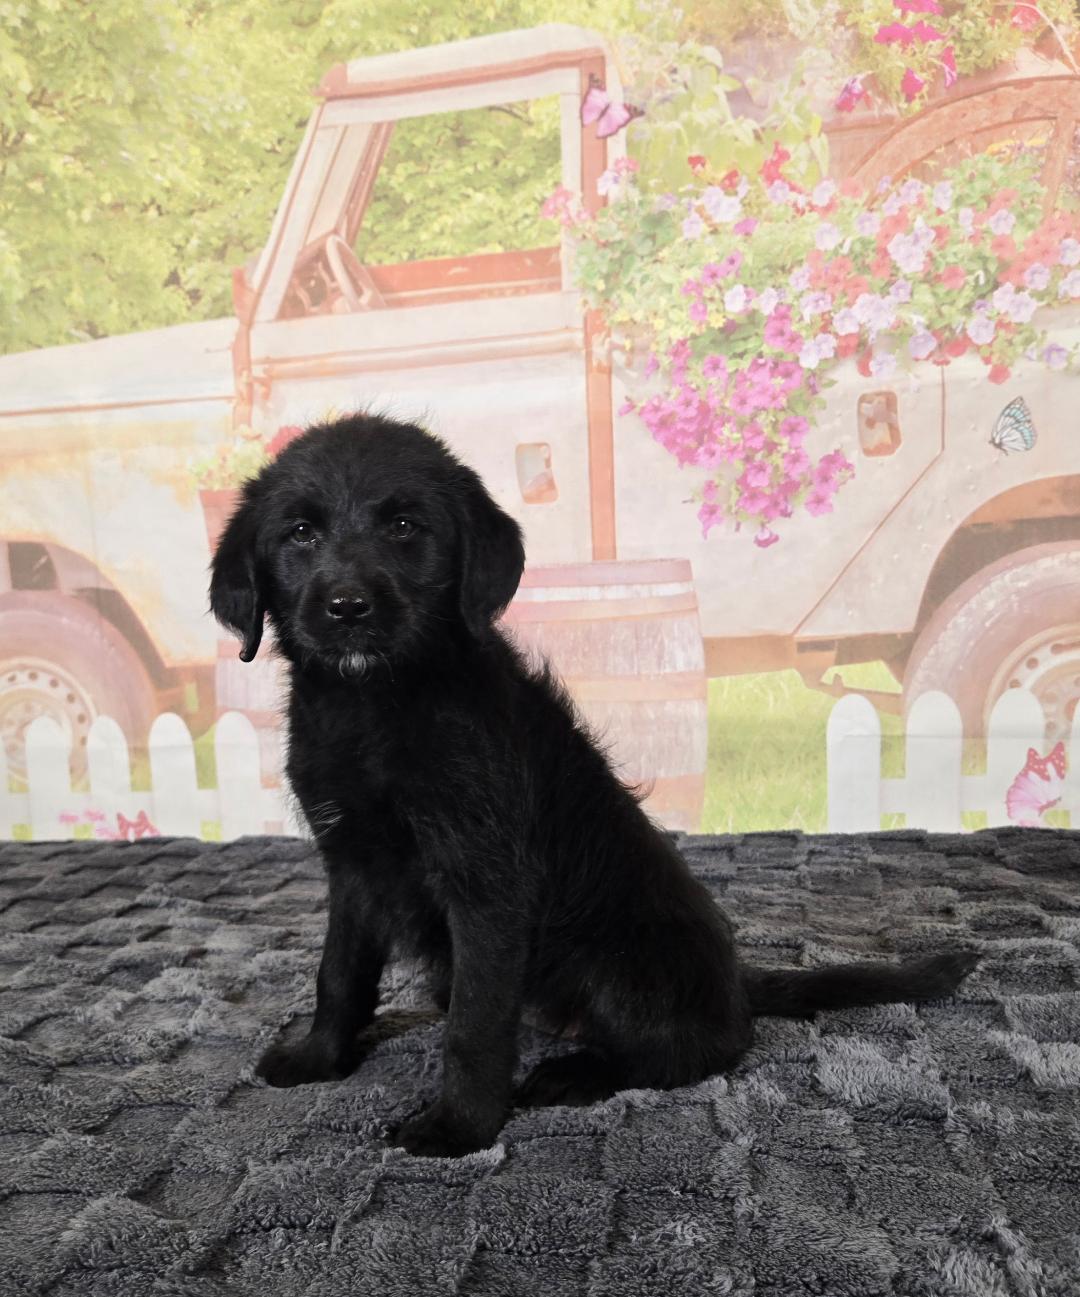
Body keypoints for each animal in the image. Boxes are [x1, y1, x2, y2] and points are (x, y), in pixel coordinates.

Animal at [210, 413, 977, 1157]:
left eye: (403, 527)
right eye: (300, 533)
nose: (348, 606)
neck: (375, 706)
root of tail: (735, 986)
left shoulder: (487, 882)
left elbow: (476, 1023)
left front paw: (460, 1126)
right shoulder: (352, 864)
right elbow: (338, 972)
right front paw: (319, 1057)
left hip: (619, 961)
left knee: (703, 1047)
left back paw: (575, 1072)